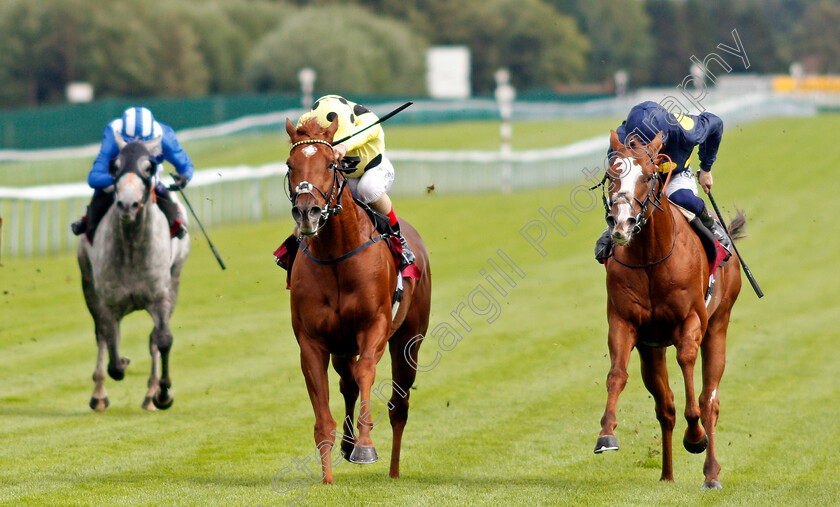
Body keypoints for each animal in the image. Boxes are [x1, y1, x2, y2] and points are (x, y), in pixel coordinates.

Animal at [78, 135, 191, 412]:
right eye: (114, 166)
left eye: (149, 167)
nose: (127, 204)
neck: (132, 248)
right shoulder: (107, 301)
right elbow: (112, 352)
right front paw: (121, 365)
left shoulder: (161, 296)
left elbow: (162, 339)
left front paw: (162, 393)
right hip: (87, 281)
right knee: (102, 336)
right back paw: (99, 394)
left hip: (175, 278)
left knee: (153, 340)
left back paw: (151, 394)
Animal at [286, 117, 434, 482]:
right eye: (290, 165)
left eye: (331, 164)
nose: (307, 212)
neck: (337, 257)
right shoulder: (312, 341)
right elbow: (323, 415)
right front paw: (327, 477)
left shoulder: (375, 325)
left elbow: (367, 370)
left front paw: (365, 446)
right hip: (342, 346)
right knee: (348, 384)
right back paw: (347, 444)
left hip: (409, 340)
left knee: (398, 405)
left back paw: (393, 471)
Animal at [592, 129, 744, 490]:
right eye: (611, 175)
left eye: (648, 176)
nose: (621, 224)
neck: (651, 257)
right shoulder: (624, 323)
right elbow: (617, 374)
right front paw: (606, 434)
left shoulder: (691, 321)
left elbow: (688, 366)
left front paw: (696, 436)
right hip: (652, 350)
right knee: (666, 406)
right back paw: (667, 474)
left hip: (719, 325)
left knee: (709, 399)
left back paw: (711, 473)